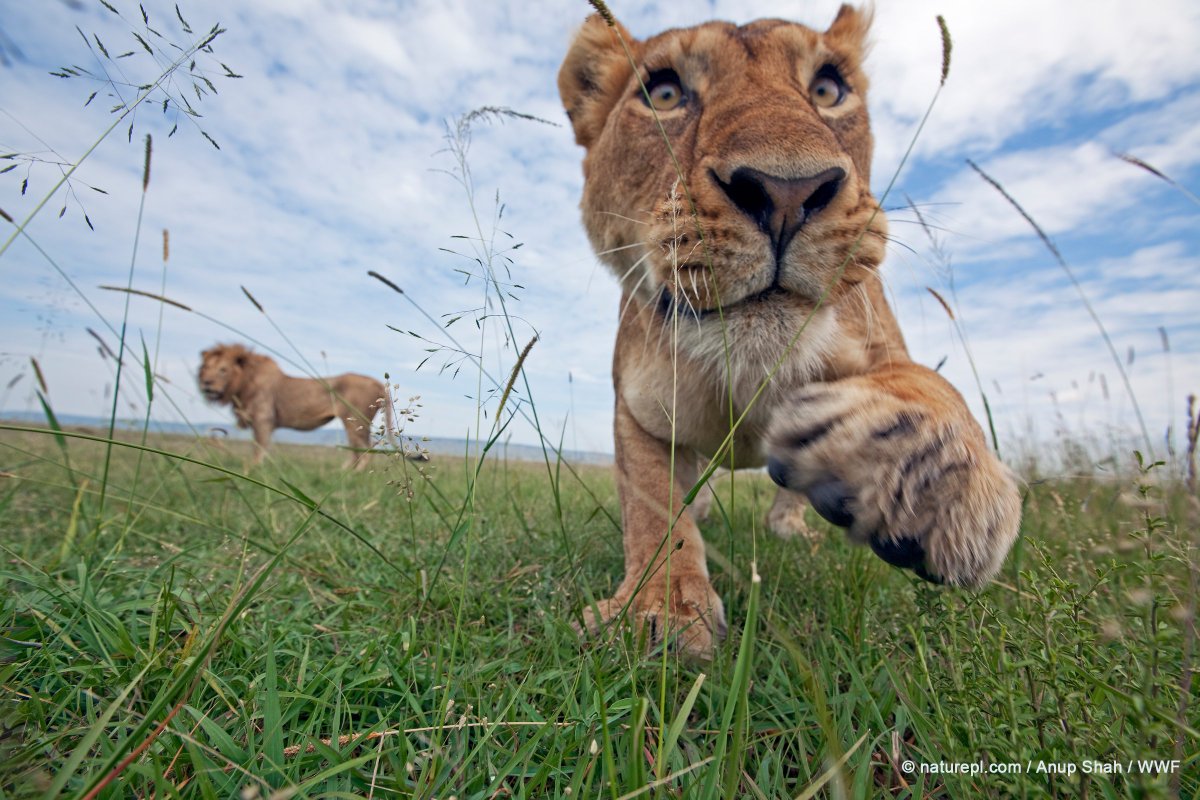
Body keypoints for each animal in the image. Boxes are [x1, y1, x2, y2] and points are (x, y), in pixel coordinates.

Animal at [198, 343, 392, 469]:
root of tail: (377, 383)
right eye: (205, 367)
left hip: (355, 420)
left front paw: (254, 469)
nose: (206, 383)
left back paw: (354, 474)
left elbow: (259, 448)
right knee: (356, 450)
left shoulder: (263, 419)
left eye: (223, 370)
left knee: (364, 449)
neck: (243, 384)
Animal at [558, 6, 1021, 657]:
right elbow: (652, 507)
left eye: (827, 89)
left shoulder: (877, 341)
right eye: (664, 93)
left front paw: (924, 476)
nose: (786, 192)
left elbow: (927, 384)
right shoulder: (639, 408)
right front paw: (660, 610)